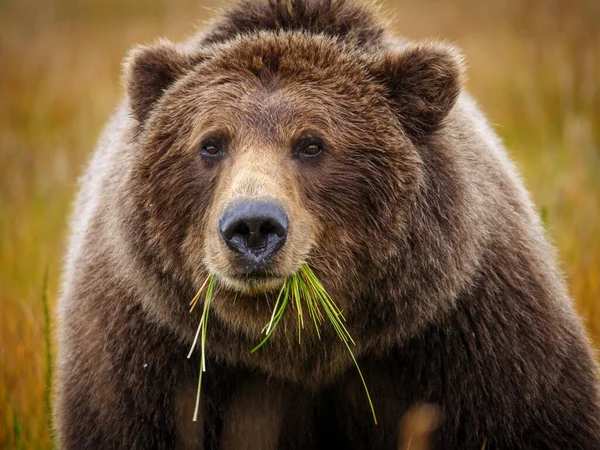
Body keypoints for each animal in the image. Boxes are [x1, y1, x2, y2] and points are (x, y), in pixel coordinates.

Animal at [56, 0, 600, 450]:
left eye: (311, 144)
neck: (301, 345)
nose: (253, 226)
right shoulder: (150, 354)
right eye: (211, 143)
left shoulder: (473, 335)